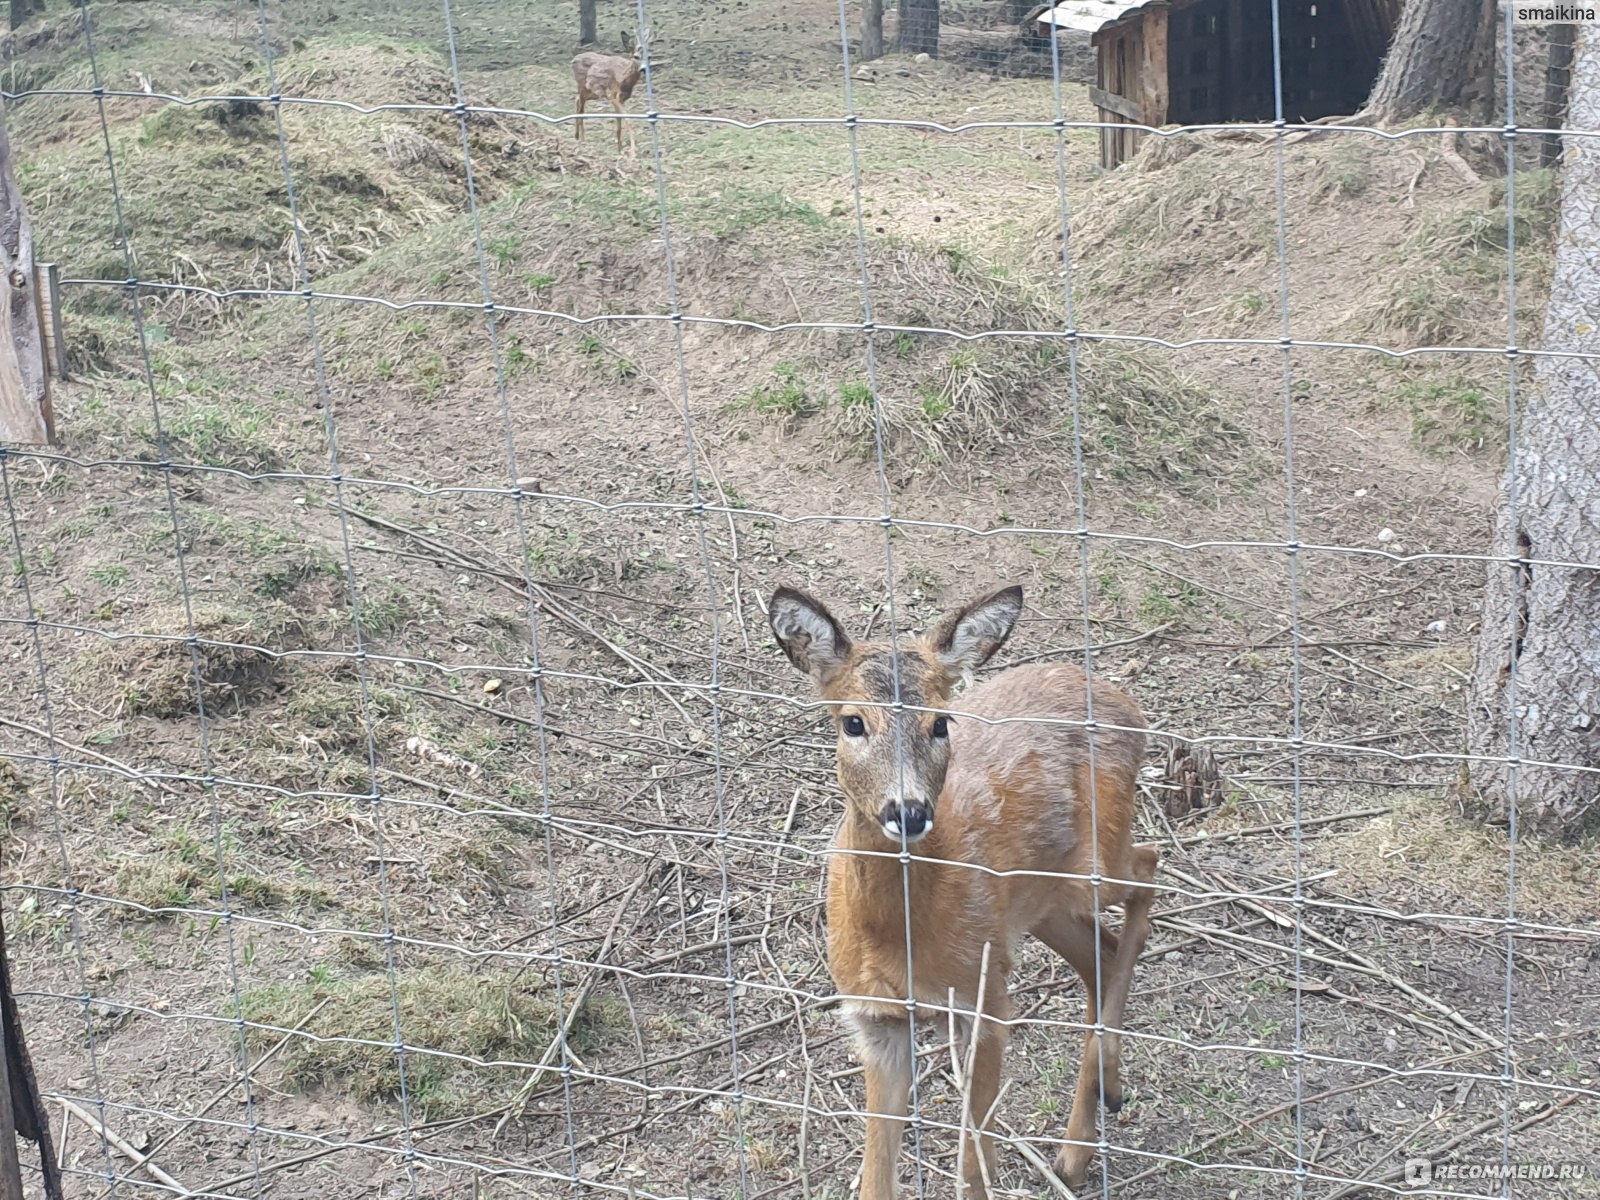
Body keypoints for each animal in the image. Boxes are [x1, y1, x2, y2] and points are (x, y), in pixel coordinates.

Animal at [768, 585, 1158, 1200]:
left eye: (941, 723)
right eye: (853, 722)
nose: (908, 811)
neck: (899, 939)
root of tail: (1126, 704)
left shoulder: (984, 1000)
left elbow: (976, 1164)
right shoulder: (876, 1018)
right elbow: (875, 1176)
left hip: (1090, 869)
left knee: (1149, 867)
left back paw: (1093, 1116)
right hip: (1036, 903)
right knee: (1102, 950)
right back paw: (1083, 1138)